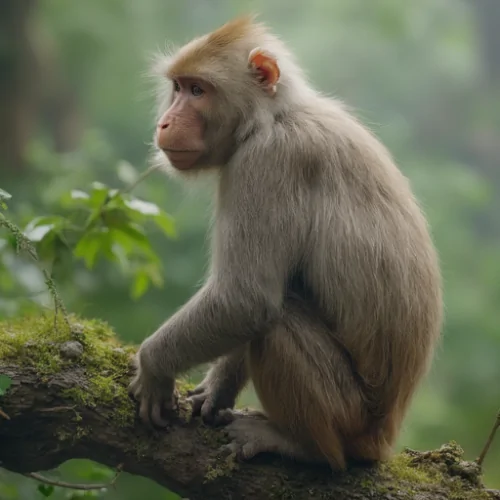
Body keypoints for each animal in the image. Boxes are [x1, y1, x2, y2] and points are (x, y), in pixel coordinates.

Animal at [129, 14, 442, 468]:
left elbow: (245, 299)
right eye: (178, 87)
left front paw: (153, 366)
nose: (165, 122)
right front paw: (216, 390)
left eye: (198, 91)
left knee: (278, 322)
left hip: (348, 411)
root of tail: (383, 439)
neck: (272, 117)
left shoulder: (267, 162)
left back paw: (303, 446)